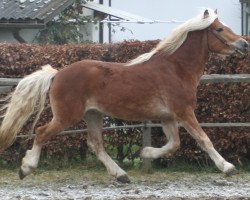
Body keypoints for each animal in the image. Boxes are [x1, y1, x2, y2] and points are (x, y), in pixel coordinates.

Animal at [0, 9, 248, 183]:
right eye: (219, 29)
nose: (244, 44)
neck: (176, 68)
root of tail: (57, 73)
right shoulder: (184, 112)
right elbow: (204, 139)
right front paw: (228, 167)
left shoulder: (168, 117)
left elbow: (174, 144)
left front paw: (146, 152)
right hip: (67, 116)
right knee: (42, 133)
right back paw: (26, 168)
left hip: (93, 115)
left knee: (96, 144)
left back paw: (121, 174)